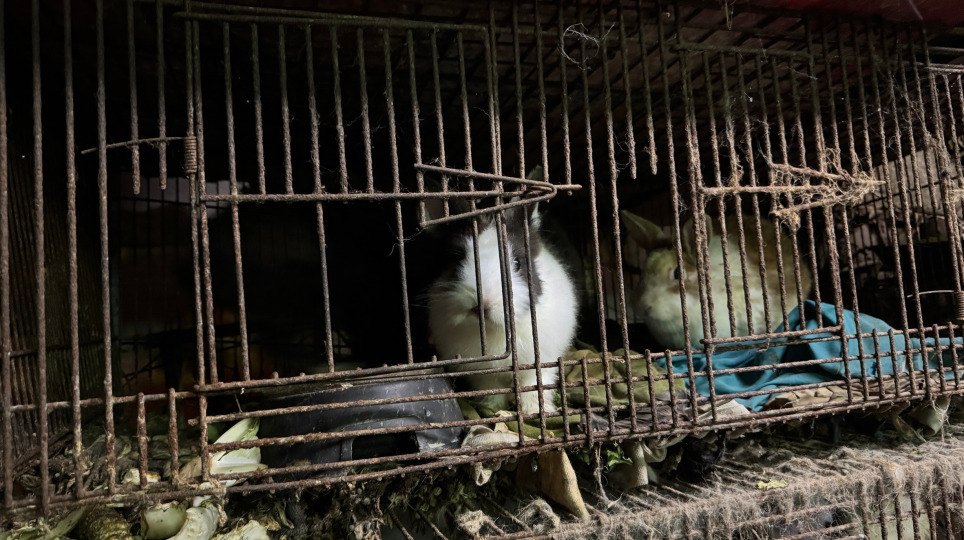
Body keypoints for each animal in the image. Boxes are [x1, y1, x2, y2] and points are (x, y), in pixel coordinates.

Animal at [425, 172, 578, 415]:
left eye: (517, 263)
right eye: (457, 259)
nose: (482, 304)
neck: (494, 331)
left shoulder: (540, 360)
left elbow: (533, 384)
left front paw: (534, 410)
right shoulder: (482, 374)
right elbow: (492, 388)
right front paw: (493, 409)